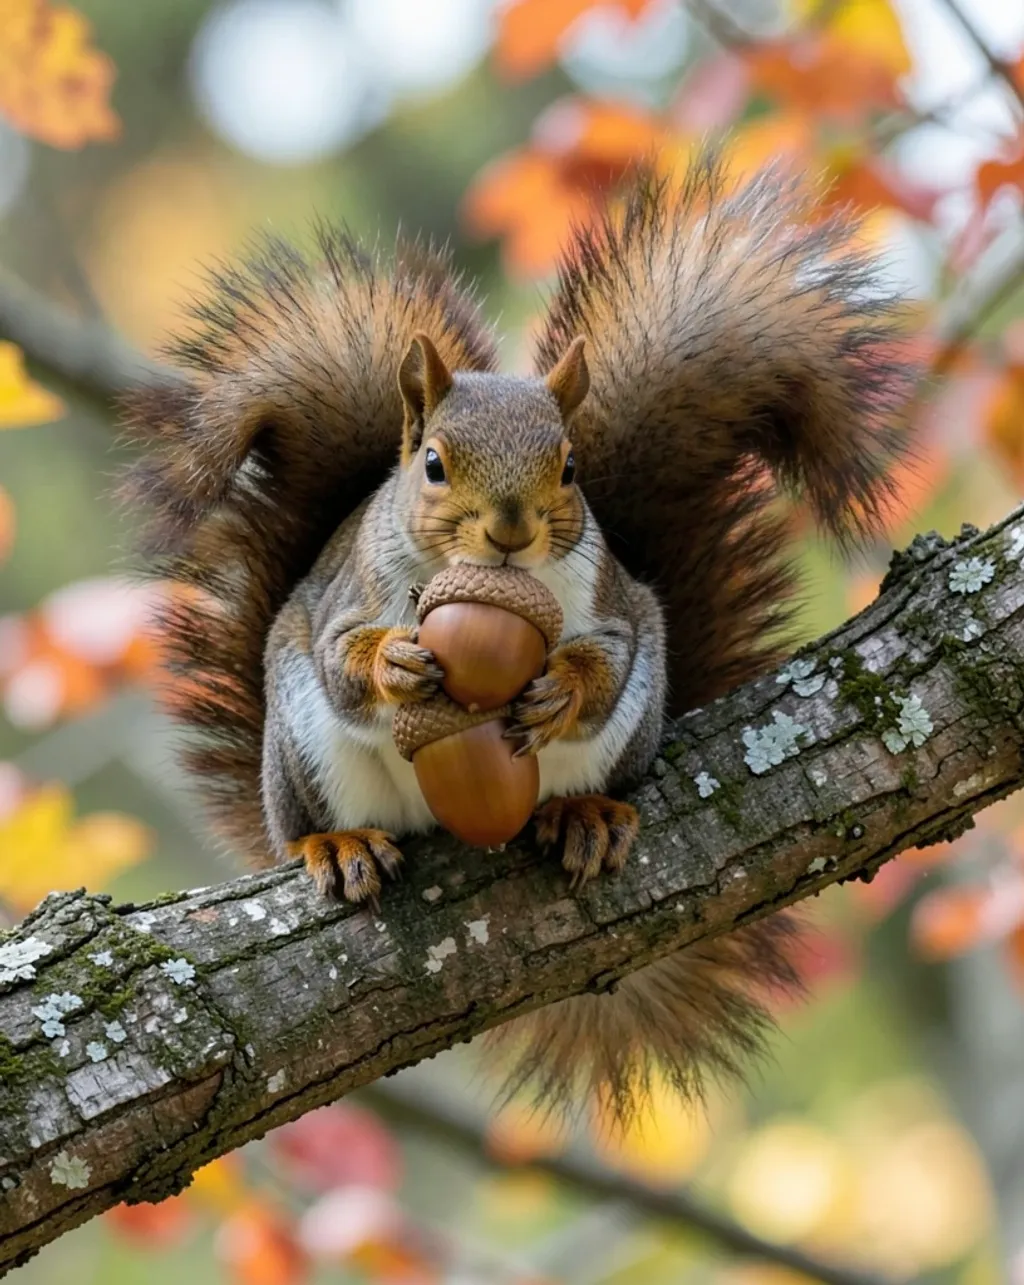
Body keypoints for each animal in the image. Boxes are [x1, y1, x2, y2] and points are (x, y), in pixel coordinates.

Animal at [124, 153, 913, 1120]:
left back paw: (584, 814)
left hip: (624, 738)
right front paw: (394, 663)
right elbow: (345, 654)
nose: (509, 528)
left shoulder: (616, 607)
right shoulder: (344, 601)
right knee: (306, 815)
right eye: (433, 464)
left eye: (570, 466)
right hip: (305, 750)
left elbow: (604, 659)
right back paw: (337, 844)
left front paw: (560, 687)